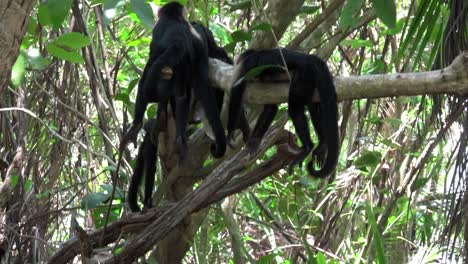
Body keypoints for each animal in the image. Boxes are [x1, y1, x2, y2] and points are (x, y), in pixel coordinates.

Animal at [124, 2, 227, 161]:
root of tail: (177, 43)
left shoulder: (159, 29)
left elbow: (149, 68)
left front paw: (137, 123)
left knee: (151, 77)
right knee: (181, 95)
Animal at [229, 48, 338, 178]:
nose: (236, 63)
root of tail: (311, 58)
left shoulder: (248, 64)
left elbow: (237, 92)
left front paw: (230, 133)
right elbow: (271, 108)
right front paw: (254, 141)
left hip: (305, 73)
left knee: (295, 109)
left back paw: (308, 147)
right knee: (314, 107)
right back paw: (322, 144)